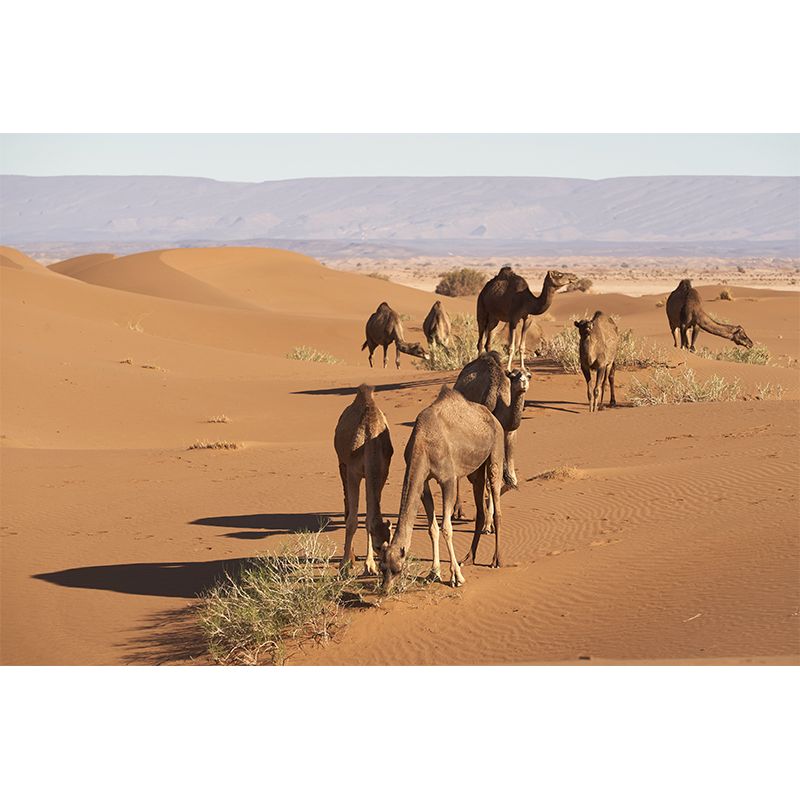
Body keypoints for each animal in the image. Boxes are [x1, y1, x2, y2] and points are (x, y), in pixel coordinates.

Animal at [333, 385, 394, 575]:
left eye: (390, 542)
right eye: (378, 546)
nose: (384, 567)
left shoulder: (381, 472)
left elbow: (368, 518)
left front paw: (369, 566)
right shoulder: (354, 471)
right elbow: (353, 521)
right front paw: (344, 565)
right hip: (342, 463)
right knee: (346, 503)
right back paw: (350, 559)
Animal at [379, 387, 506, 590]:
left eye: (397, 569)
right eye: (382, 567)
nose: (384, 589)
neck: (423, 444)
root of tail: (491, 416)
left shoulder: (448, 480)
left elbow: (446, 527)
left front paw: (457, 577)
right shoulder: (423, 481)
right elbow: (432, 528)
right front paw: (434, 573)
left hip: (496, 449)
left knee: (496, 494)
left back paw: (496, 560)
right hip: (476, 468)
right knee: (479, 504)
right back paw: (468, 558)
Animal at [452, 351, 530, 521]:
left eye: (529, 375)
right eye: (513, 376)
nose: (523, 382)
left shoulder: (509, 433)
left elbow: (510, 479)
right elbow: (487, 479)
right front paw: (488, 519)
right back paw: (458, 512)